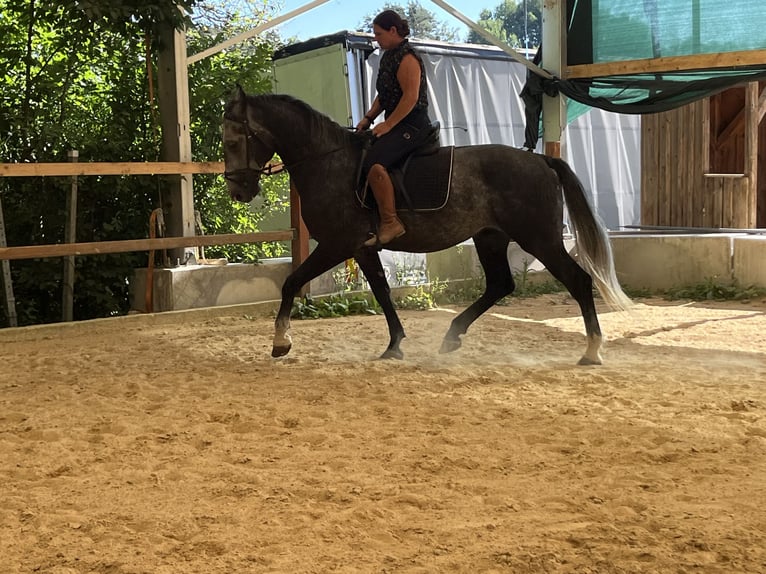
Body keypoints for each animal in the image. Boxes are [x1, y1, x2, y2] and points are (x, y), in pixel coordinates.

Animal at [222, 86, 631, 364]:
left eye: (234, 141)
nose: (238, 190)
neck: (328, 162)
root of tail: (542, 160)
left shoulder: (337, 244)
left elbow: (292, 281)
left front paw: (281, 342)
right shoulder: (362, 248)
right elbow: (382, 292)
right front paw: (395, 344)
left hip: (539, 239)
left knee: (577, 280)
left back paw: (592, 351)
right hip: (490, 238)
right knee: (500, 284)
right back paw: (452, 336)